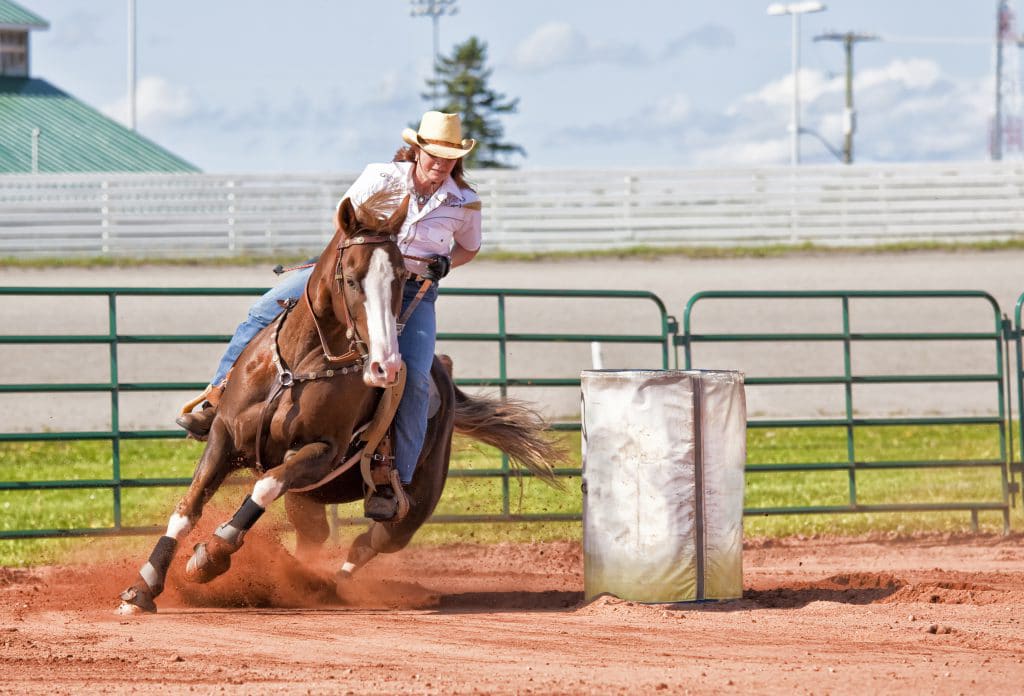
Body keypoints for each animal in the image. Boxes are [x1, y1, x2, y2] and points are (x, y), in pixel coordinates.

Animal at [117, 190, 565, 614]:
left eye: (401, 278)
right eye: (351, 278)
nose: (385, 364)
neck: (296, 367)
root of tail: (445, 377)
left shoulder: (322, 452)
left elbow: (265, 483)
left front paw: (211, 555)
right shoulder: (224, 436)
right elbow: (188, 506)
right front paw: (143, 587)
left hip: (412, 507)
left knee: (371, 541)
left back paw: (327, 585)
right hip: (310, 501)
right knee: (316, 537)